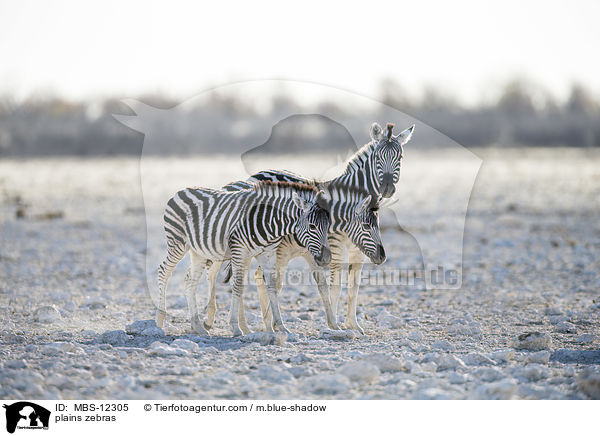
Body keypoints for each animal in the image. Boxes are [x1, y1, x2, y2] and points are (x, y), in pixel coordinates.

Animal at [157, 179, 330, 336]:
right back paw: (160, 321)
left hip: (198, 251)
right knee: (163, 271)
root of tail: (181, 191)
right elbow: (238, 286)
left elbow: (272, 287)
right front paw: (235, 327)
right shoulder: (239, 251)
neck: (269, 222)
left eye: (328, 225)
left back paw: (197, 326)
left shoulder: (268, 254)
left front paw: (281, 327)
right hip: (178, 242)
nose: (327, 258)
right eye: (312, 226)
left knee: (190, 282)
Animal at [223, 121, 414, 332]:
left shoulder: (358, 249)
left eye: (400, 157)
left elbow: (354, 286)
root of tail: (252, 177)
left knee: (256, 275)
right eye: (378, 157)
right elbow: (335, 285)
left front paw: (353, 325)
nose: (387, 188)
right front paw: (335, 324)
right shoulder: (335, 244)